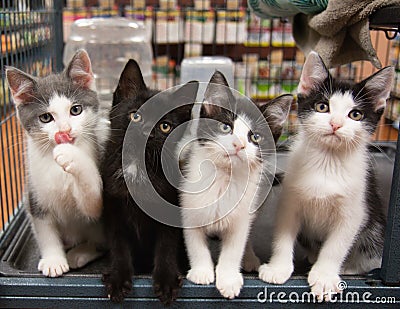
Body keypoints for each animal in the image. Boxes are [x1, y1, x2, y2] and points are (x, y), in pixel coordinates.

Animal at [5, 49, 111, 276]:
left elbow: (92, 197)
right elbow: (45, 230)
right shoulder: (34, 194)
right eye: (46, 118)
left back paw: (80, 253)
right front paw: (53, 259)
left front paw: (71, 155)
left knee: (101, 243)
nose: (65, 131)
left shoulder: (97, 205)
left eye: (76, 110)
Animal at [101, 59, 198, 304]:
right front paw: (118, 277)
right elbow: (118, 244)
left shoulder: (170, 207)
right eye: (136, 116)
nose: (146, 131)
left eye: (165, 126)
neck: (139, 166)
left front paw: (166, 280)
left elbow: (166, 245)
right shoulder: (113, 209)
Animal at [180, 70, 292, 298]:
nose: (239, 144)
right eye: (225, 127)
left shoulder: (242, 216)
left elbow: (234, 248)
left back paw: (249, 258)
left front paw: (229, 278)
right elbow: (195, 243)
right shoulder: (189, 209)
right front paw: (201, 271)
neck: (224, 178)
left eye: (255, 137)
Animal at [260, 51, 394, 300]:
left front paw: (324, 277)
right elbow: (283, 235)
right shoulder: (290, 201)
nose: (336, 124)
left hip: (375, 230)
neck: (327, 163)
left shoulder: (354, 211)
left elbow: (336, 246)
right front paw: (278, 268)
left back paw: (348, 268)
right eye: (322, 106)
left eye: (356, 114)